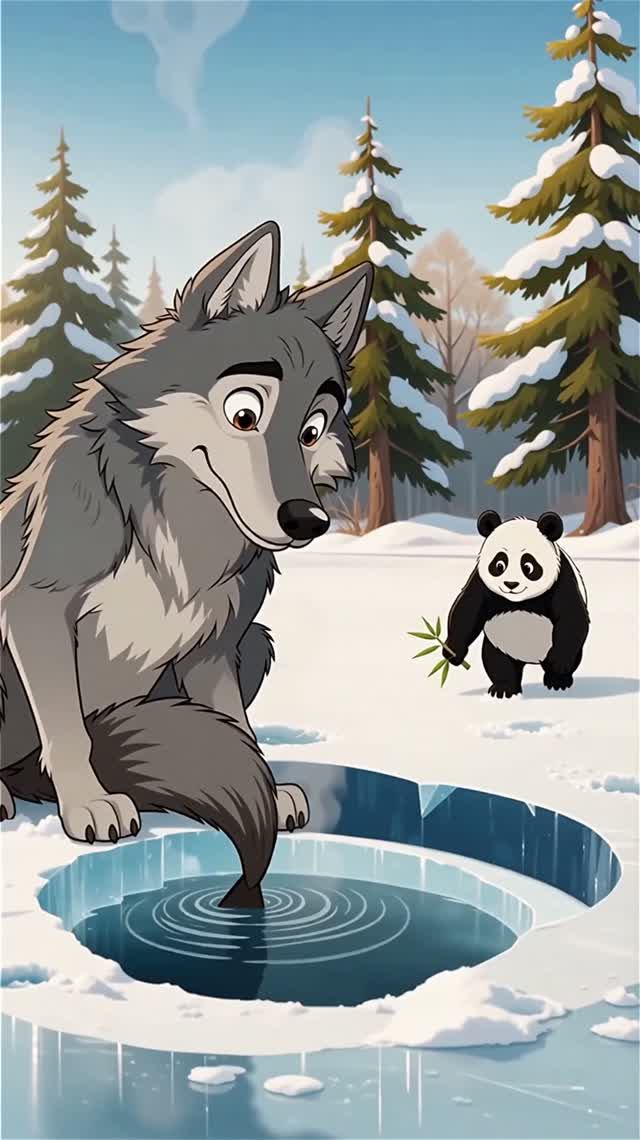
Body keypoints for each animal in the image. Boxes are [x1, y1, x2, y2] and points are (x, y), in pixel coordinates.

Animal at [0, 220, 373, 907]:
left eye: (311, 430)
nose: (307, 520)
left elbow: (235, 727)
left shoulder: (214, 644)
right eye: (245, 413)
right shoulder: (35, 605)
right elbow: (67, 725)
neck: (183, 520)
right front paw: (89, 803)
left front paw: (267, 790)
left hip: (258, 642)